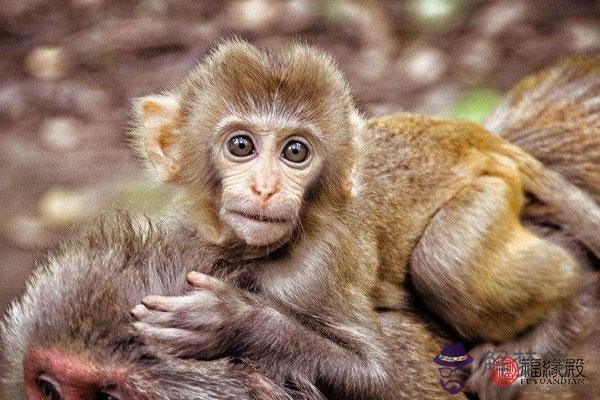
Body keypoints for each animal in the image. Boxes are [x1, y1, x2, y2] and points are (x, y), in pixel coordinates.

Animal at [130, 41, 600, 400]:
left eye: (295, 152)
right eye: (241, 145)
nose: (266, 188)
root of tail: (470, 137)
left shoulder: (317, 265)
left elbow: (378, 375)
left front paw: (230, 321)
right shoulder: (187, 233)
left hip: (490, 192)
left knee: (444, 265)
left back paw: (562, 297)